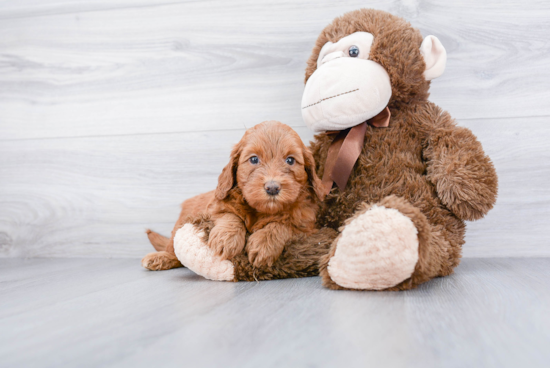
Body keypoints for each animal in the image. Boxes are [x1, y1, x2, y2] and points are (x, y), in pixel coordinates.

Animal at [140, 121, 326, 270]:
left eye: (290, 160)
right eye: (254, 159)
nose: (272, 187)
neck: (261, 211)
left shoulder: (306, 226)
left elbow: (282, 225)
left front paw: (264, 244)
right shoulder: (214, 208)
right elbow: (230, 216)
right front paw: (225, 239)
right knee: (173, 248)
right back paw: (162, 258)